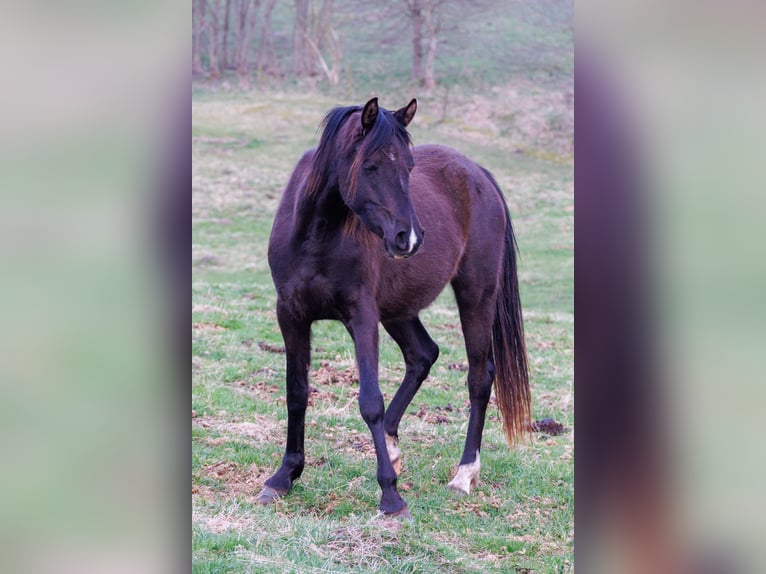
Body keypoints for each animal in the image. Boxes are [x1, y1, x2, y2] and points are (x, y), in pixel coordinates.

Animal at [256, 97, 530, 519]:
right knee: (423, 355)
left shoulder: (362, 316)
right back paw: (393, 444)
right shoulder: (291, 315)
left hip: (475, 296)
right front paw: (284, 476)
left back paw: (464, 473)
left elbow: (370, 400)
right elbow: (296, 393)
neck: (316, 234)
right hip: (400, 311)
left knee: (479, 377)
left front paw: (390, 494)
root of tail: (478, 174)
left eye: (409, 167)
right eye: (370, 166)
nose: (410, 238)